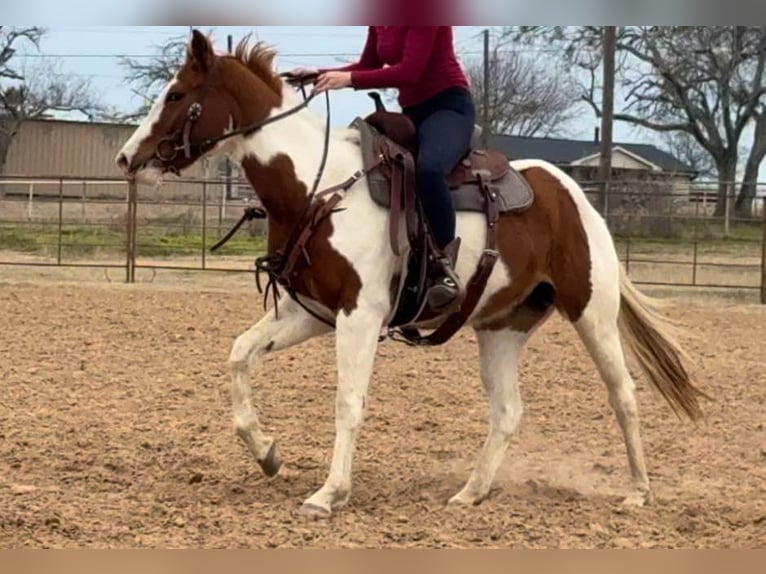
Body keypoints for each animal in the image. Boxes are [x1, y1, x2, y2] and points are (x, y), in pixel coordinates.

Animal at [114, 29, 708, 520]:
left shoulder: (359, 315)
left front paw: (328, 493)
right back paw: (471, 492)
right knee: (508, 411)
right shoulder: (316, 312)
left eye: (175, 95)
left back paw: (638, 491)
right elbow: (240, 355)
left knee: (623, 393)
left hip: (592, 313)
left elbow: (347, 402)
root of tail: (572, 193)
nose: (125, 158)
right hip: (501, 327)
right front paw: (267, 454)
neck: (319, 186)